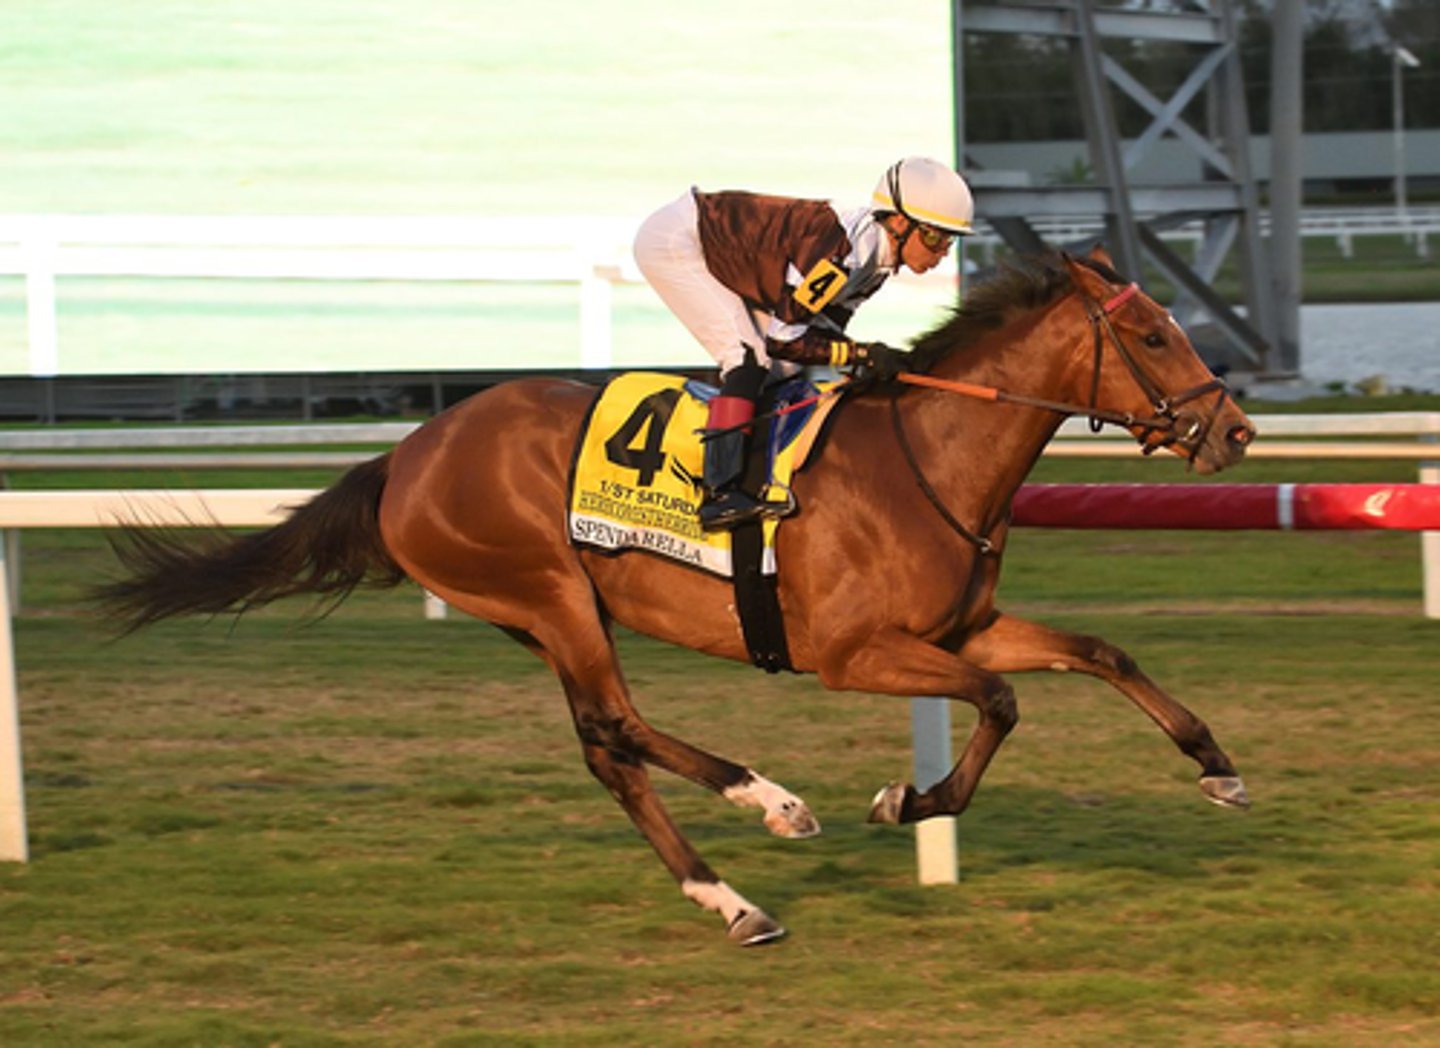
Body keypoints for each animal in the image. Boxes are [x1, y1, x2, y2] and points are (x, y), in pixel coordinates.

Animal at [96, 247, 1257, 946]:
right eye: (1151, 335)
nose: (1236, 430)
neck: (929, 455)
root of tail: (406, 455)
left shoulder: (962, 627)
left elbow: (1100, 653)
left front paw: (1218, 767)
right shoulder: (853, 654)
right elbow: (1002, 705)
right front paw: (908, 799)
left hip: (539, 617)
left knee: (608, 744)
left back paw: (734, 891)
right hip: (550, 591)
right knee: (617, 724)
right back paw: (768, 811)